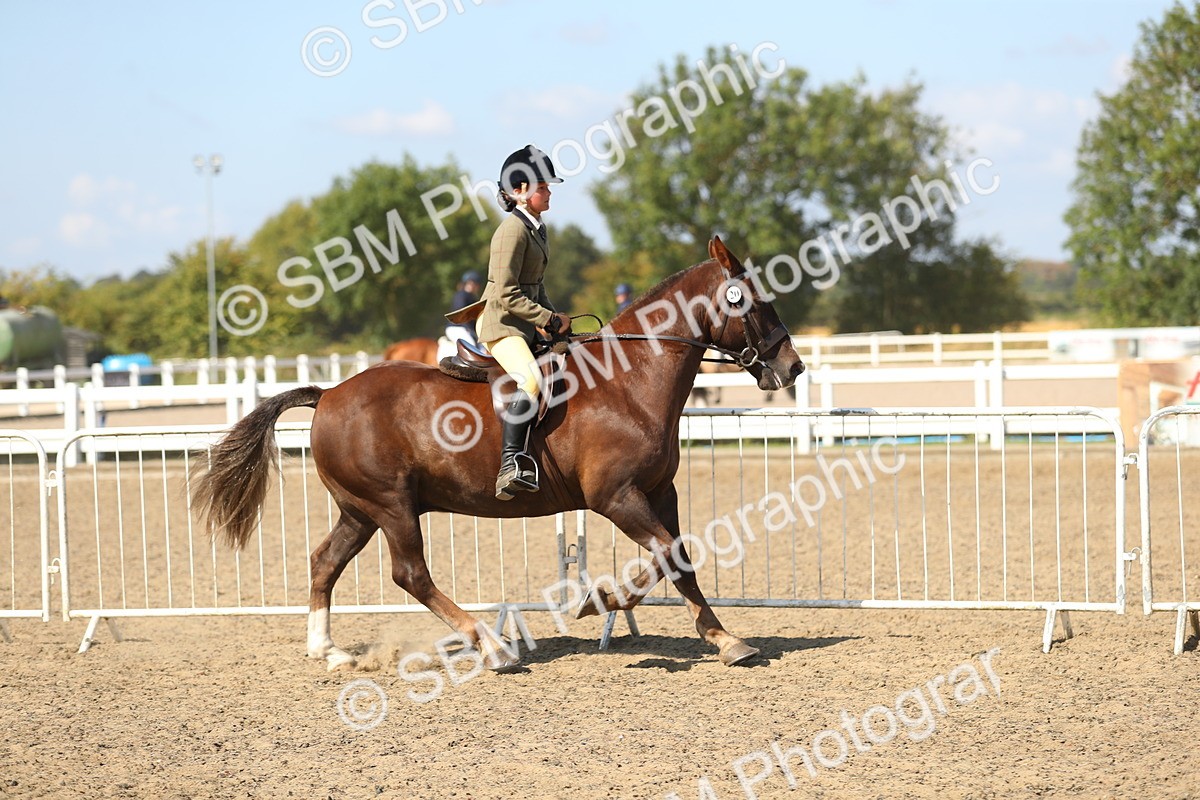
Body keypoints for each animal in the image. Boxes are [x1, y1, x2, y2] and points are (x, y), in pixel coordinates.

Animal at [193, 237, 805, 671]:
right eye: (754, 301)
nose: (794, 367)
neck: (629, 381)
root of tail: (329, 393)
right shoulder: (616, 497)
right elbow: (660, 556)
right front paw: (597, 600)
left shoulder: (660, 490)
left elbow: (680, 558)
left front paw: (725, 639)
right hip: (392, 506)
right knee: (410, 574)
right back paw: (490, 646)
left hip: (359, 510)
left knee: (325, 562)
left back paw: (329, 651)